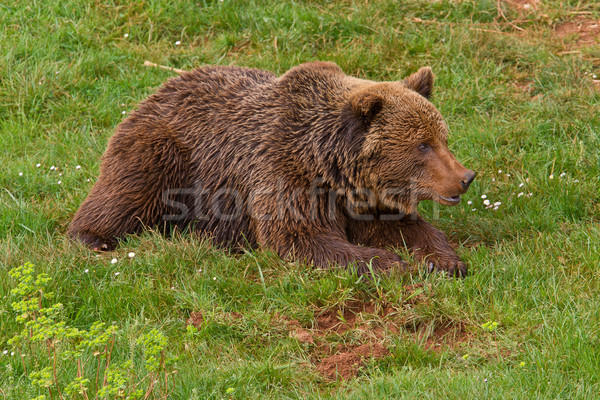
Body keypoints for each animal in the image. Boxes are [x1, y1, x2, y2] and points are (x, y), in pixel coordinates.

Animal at [68, 61, 476, 276]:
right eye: (422, 145)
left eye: (442, 137)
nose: (465, 178)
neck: (329, 166)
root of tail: (157, 90)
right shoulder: (284, 175)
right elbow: (300, 237)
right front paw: (392, 263)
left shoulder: (363, 199)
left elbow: (405, 228)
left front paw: (445, 260)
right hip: (164, 154)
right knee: (126, 195)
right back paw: (93, 236)